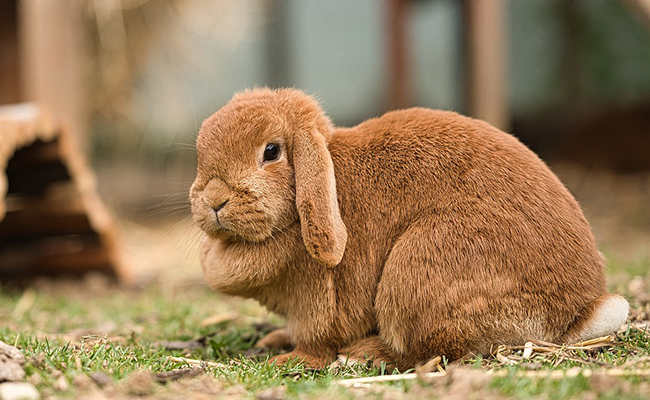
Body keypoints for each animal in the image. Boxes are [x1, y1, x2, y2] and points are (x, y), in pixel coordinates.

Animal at [191, 88, 628, 372]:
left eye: (271, 152)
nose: (213, 200)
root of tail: (577, 314)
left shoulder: (319, 303)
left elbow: (318, 339)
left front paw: (293, 359)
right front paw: (274, 341)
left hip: (416, 272)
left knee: (428, 353)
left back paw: (364, 354)